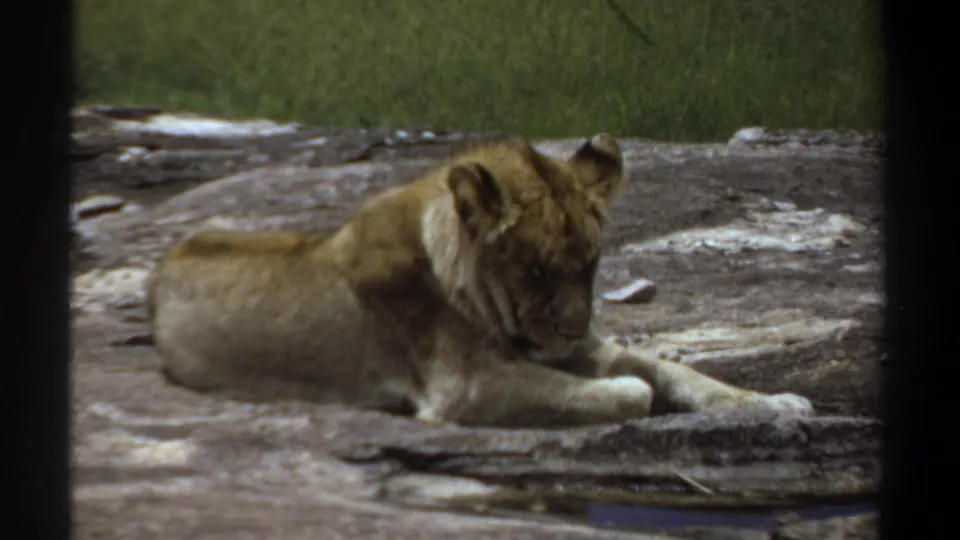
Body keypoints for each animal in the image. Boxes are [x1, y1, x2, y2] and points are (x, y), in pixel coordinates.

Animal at [148, 134, 813, 427]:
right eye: (537, 269)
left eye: (591, 264)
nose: (572, 330)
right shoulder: (465, 385)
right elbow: (626, 389)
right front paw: (631, 393)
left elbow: (676, 371)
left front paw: (777, 402)